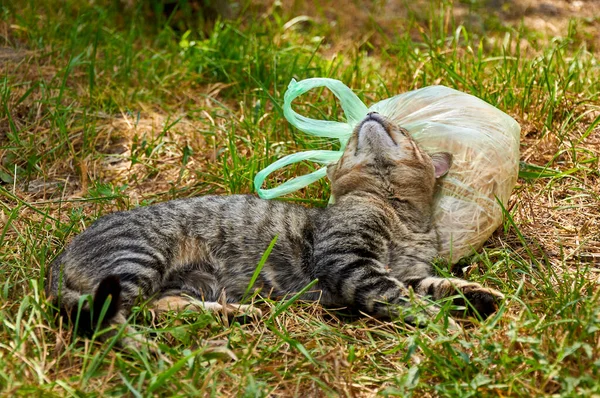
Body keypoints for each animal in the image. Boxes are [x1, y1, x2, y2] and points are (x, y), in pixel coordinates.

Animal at [47, 112, 504, 342]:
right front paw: (443, 325)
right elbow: (401, 298)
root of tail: (59, 257)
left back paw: (234, 314)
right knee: (110, 315)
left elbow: (437, 285)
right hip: (139, 257)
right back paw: (142, 347)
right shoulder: (350, 261)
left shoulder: (408, 272)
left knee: (155, 308)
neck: (398, 215)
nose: (372, 112)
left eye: (403, 130)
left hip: (175, 282)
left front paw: (479, 295)